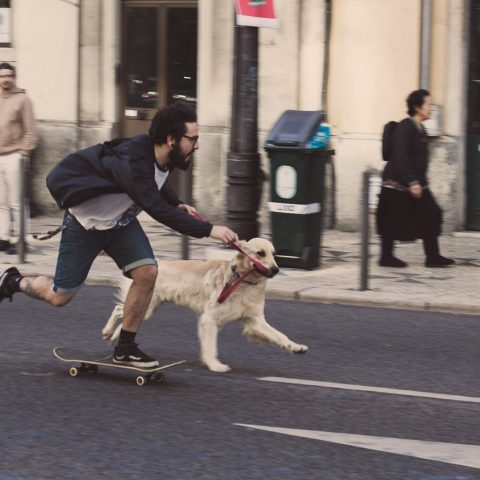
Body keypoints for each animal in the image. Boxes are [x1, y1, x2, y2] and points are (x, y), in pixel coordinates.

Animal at [103, 238, 310, 374]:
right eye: (260, 253)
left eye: (274, 254)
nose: (276, 269)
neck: (243, 282)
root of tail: (157, 262)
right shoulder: (209, 320)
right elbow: (211, 347)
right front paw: (215, 365)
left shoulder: (255, 321)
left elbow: (279, 335)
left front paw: (295, 347)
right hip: (147, 305)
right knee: (119, 309)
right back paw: (107, 332)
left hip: (148, 307)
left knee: (126, 316)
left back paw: (114, 338)